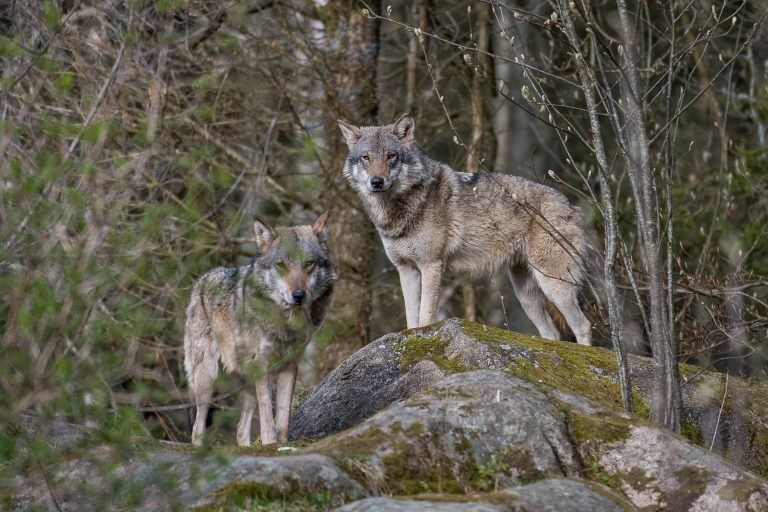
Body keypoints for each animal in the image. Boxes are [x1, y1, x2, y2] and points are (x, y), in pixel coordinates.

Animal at [185, 210, 332, 446]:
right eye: (281, 264)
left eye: (309, 263)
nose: (298, 295)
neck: (286, 324)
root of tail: (203, 278)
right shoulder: (263, 365)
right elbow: (267, 417)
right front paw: (270, 443)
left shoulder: (290, 364)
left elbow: (283, 415)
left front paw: (281, 445)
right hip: (208, 377)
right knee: (197, 428)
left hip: (246, 381)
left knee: (240, 430)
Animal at [338, 111, 592, 344]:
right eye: (366, 157)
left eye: (391, 156)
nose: (376, 182)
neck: (399, 210)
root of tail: (571, 206)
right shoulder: (406, 270)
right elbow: (411, 320)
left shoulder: (431, 266)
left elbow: (425, 317)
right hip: (526, 295)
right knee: (552, 335)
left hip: (554, 285)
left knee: (583, 325)